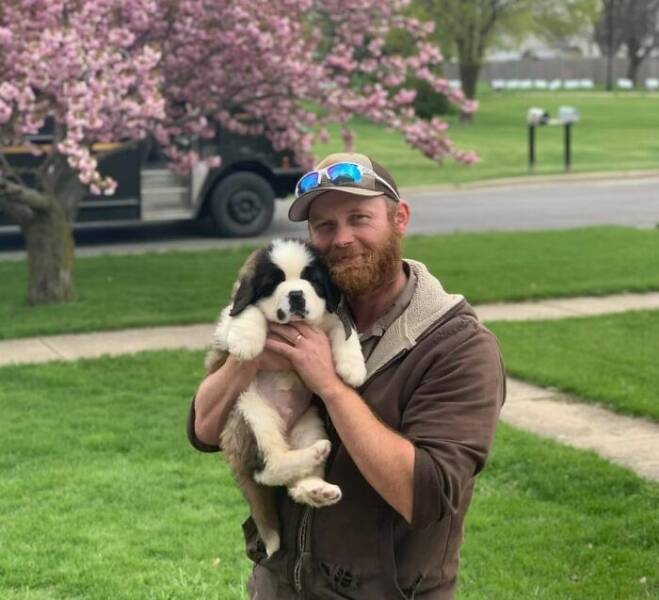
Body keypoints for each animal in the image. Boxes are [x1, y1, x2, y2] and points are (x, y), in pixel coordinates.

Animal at [205, 237, 366, 556]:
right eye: (273, 283)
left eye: (311, 279)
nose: (295, 295)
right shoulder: (227, 322)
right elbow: (246, 311)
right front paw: (246, 341)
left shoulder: (328, 316)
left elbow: (344, 328)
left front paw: (353, 367)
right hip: (251, 411)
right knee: (266, 468)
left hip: (309, 422)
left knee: (293, 483)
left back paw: (316, 487)